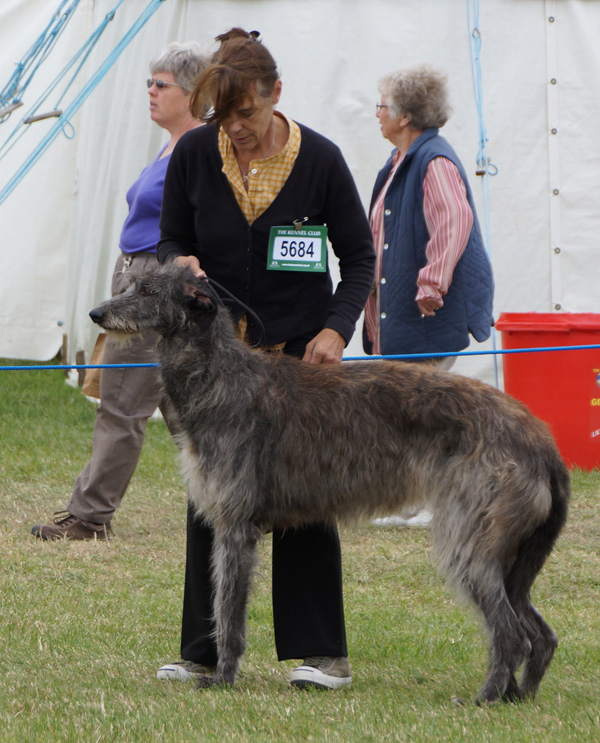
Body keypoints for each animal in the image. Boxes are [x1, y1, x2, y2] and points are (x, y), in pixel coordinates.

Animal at [88, 266, 568, 704]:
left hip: (470, 538)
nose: (96, 313)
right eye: (131, 284)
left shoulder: (235, 527)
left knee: (511, 633)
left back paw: (485, 698)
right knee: (540, 633)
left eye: (149, 291)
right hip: (512, 555)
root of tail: (541, 440)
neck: (220, 373)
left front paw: (223, 678)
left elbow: (228, 613)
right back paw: (516, 695)